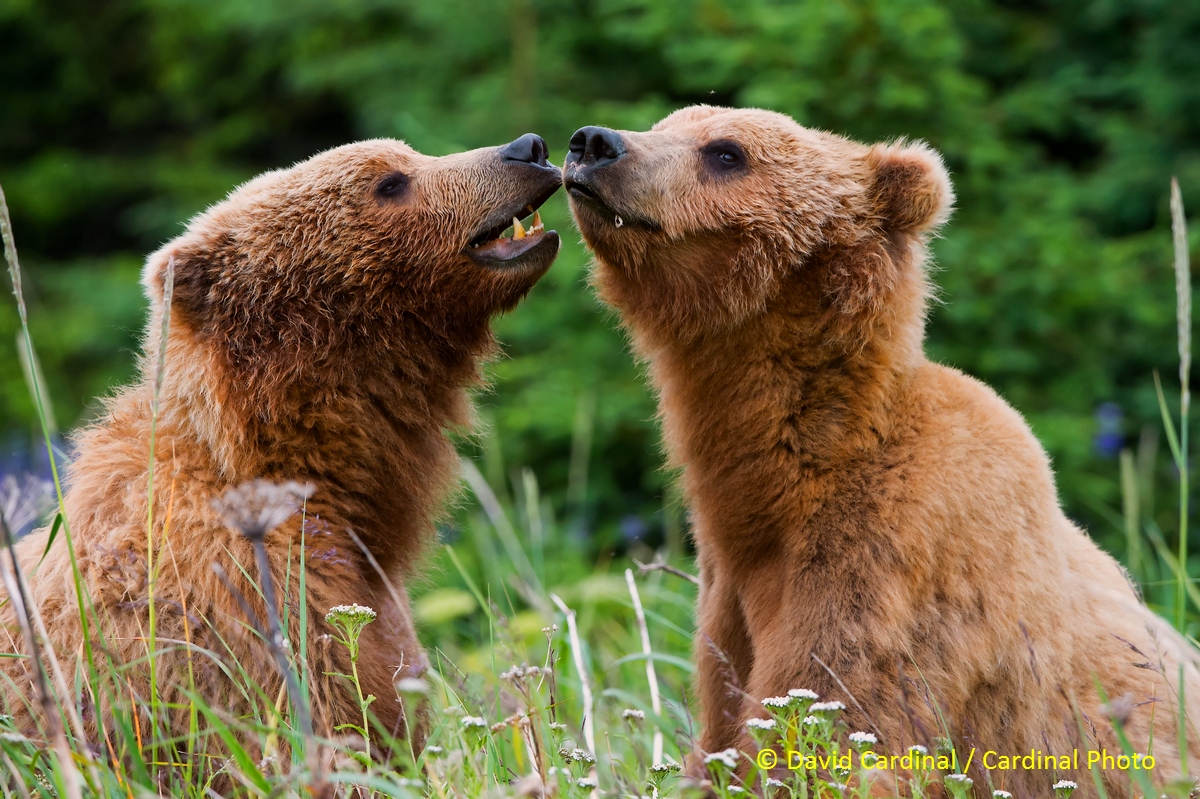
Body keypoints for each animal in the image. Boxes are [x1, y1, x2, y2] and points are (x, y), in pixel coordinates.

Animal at [561, 105, 1200, 796]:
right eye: (668, 123)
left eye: (727, 152)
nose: (594, 143)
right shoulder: (727, 600)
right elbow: (724, 723)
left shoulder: (888, 559)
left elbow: (837, 720)